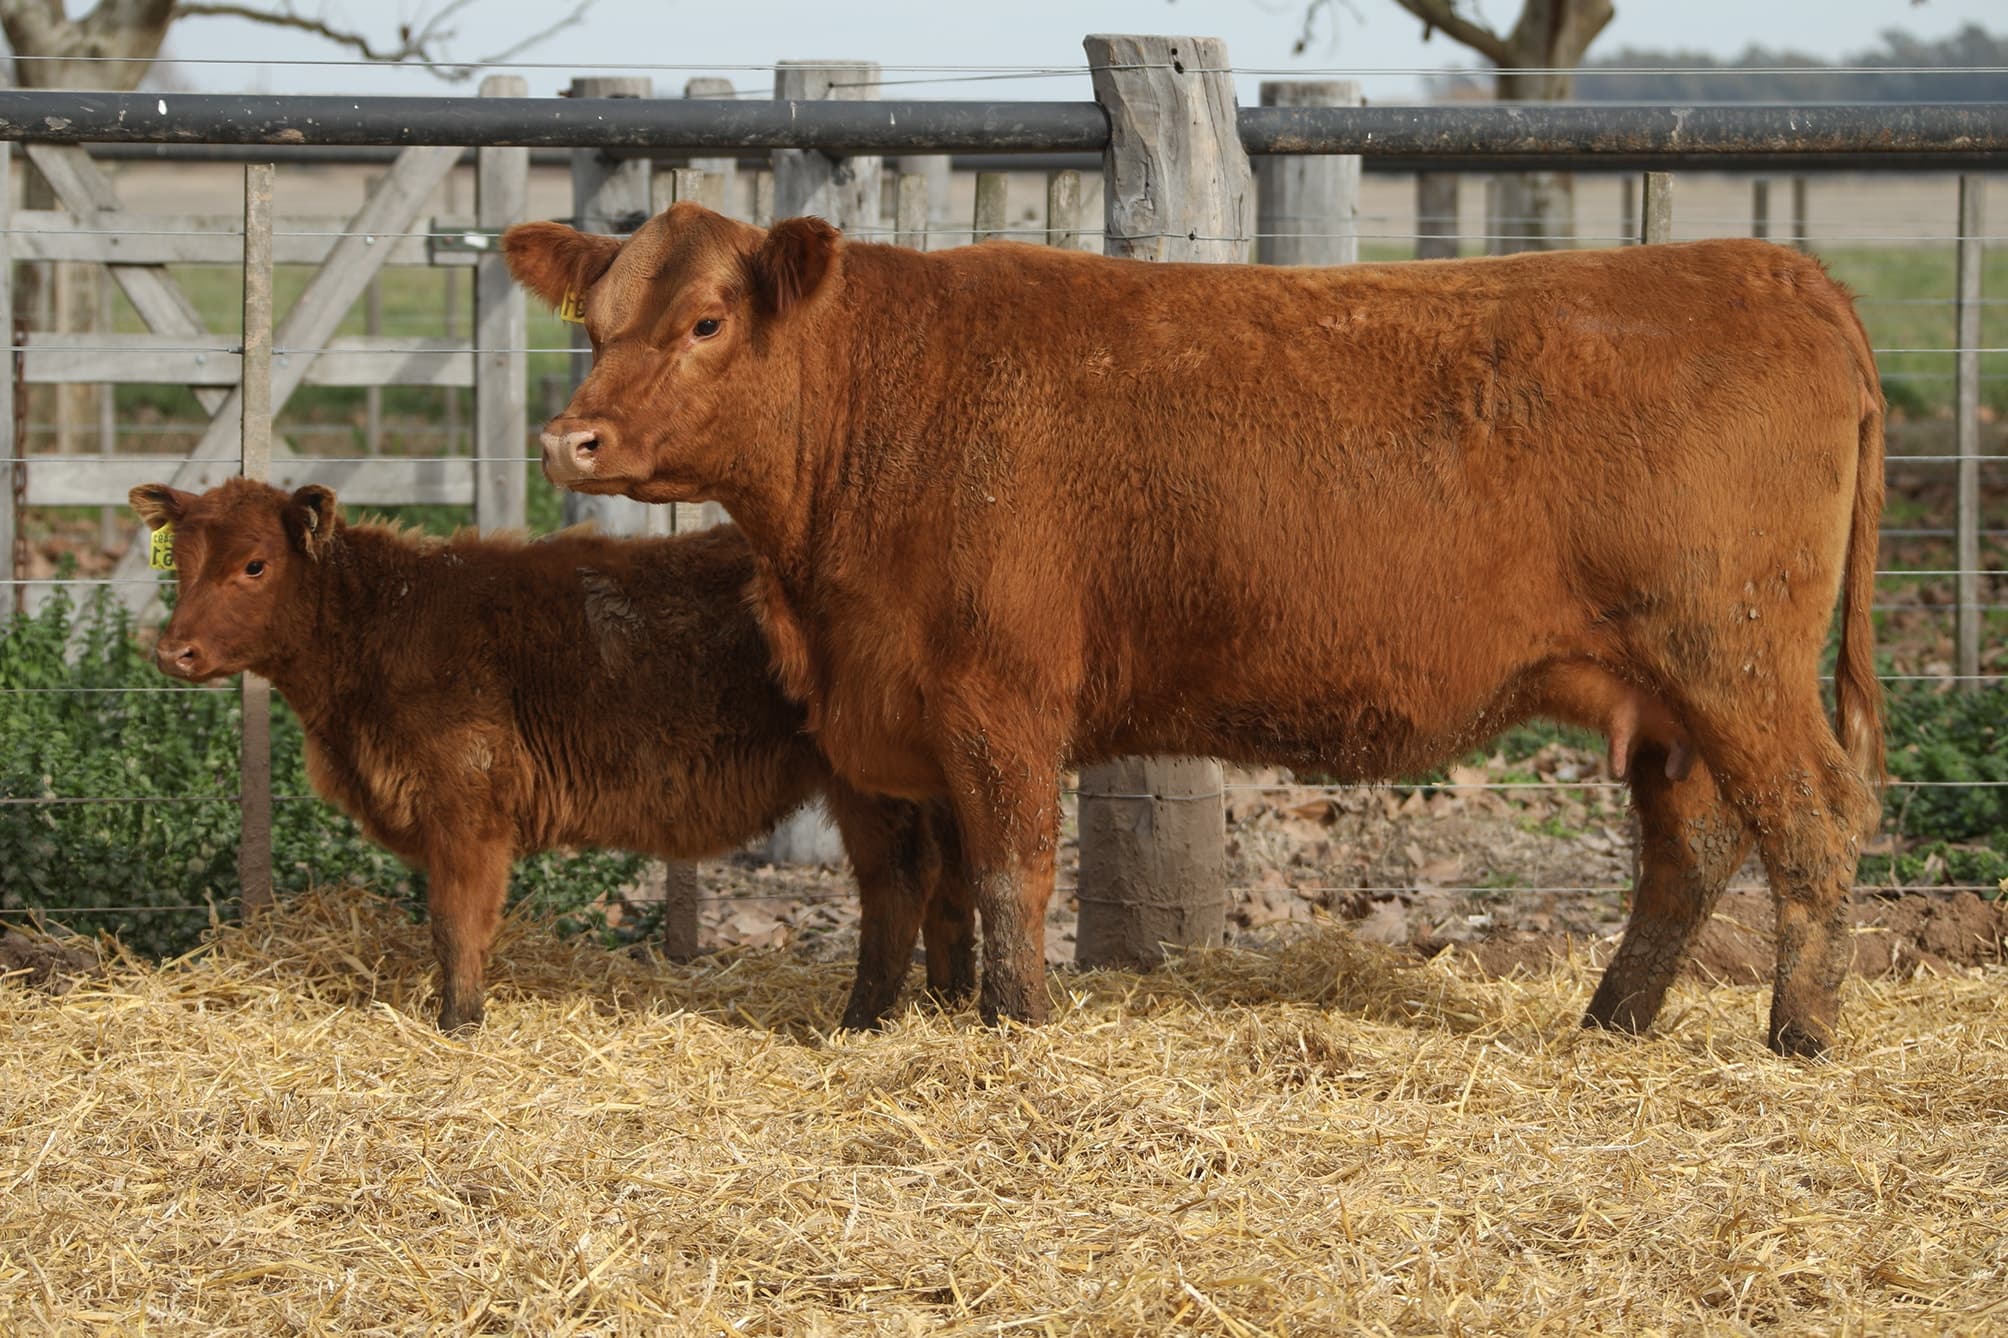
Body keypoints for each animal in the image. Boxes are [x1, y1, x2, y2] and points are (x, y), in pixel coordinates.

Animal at [128, 479, 973, 1032]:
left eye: (255, 565)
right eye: (181, 562)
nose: (173, 652)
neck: (382, 625)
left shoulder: (467, 808)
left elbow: (455, 923)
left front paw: (458, 1021)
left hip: (871, 786)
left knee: (899, 883)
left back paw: (861, 1020)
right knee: (950, 880)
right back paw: (946, 1000)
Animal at [505, 206, 1884, 1057]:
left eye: (705, 322)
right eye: (597, 323)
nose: (570, 440)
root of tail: (1778, 271)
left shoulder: (999, 701)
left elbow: (1007, 875)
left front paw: (1016, 1027)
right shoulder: (878, 720)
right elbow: (908, 888)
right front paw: (882, 1026)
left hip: (1735, 662)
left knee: (1813, 819)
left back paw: (1799, 1037)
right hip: (1674, 698)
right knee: (1694, 844)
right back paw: (1613, 1021)